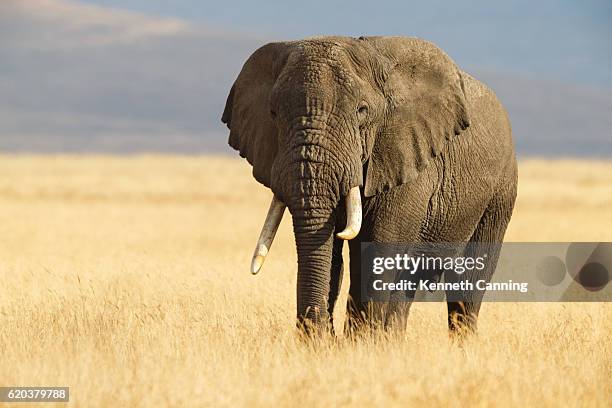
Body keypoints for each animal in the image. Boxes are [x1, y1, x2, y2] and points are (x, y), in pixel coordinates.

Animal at [221, 35, 516, 334]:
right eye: (273, 113)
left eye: (361, 111)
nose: (321, 333)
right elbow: (331, 254)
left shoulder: (408, 158)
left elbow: (377, 251)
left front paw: (362, 342)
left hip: (500, 192)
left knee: (468, 281)